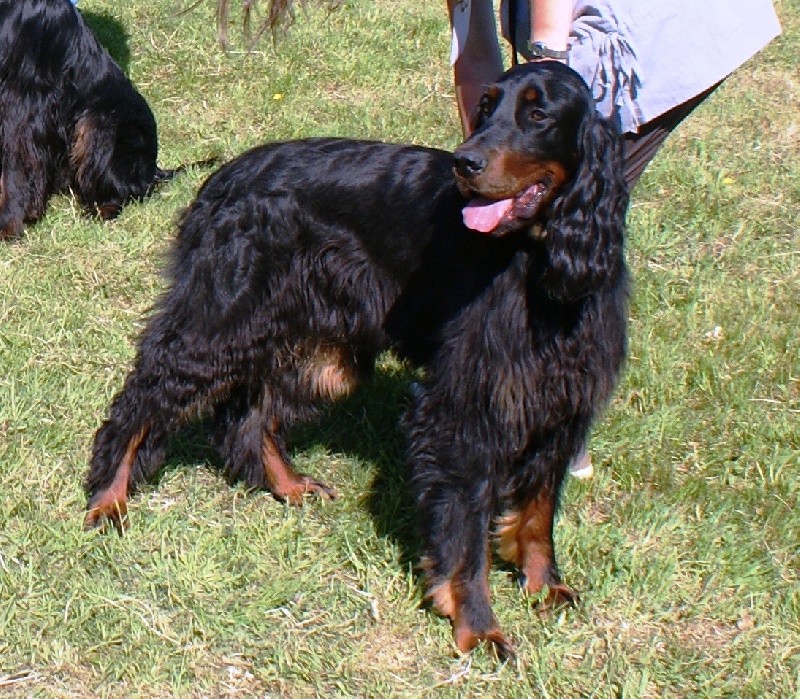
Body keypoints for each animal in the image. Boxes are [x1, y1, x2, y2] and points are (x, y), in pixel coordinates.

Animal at [0, 0, 171, 239]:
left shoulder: (22, 97)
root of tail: (154, 169)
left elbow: (15, 165)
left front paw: (8, 221)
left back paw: (102, 208)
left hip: (103, 121)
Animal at [84, 61, 629, 657]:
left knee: (247, 414)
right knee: (144, 396)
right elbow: (467, 534)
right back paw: (107, 499)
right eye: (486, 107)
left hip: (316, 344)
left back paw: (289, 485)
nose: (466, 162)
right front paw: (477, 625)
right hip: (220, 321)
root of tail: (224, 177)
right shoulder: (465, 407)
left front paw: (543, 584)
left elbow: (537, 512)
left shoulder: (561, 403)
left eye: (538, 114)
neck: (538, 263)